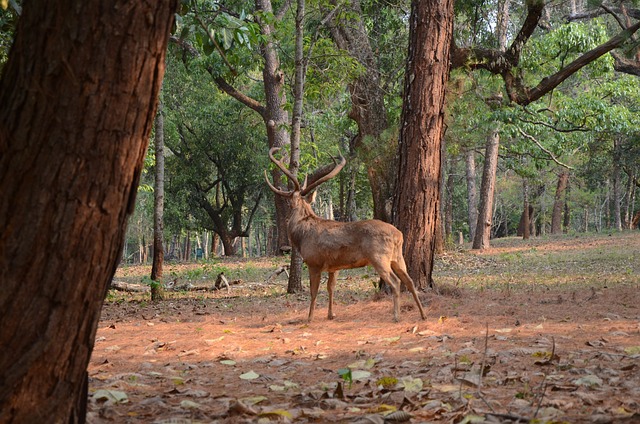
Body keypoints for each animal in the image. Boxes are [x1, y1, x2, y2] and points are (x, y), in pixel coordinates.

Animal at [264, 147, 424, 322]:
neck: (301, 236)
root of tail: (398, 235)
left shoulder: (314, 262)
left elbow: (314, 292)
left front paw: (309, 318)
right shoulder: (334, 266)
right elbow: (331, 288)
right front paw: (331, 314)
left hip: (378, 256)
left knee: (395, 282)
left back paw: (396, 316)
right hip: (398, 257)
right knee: (409, 281)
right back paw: (423, 314)